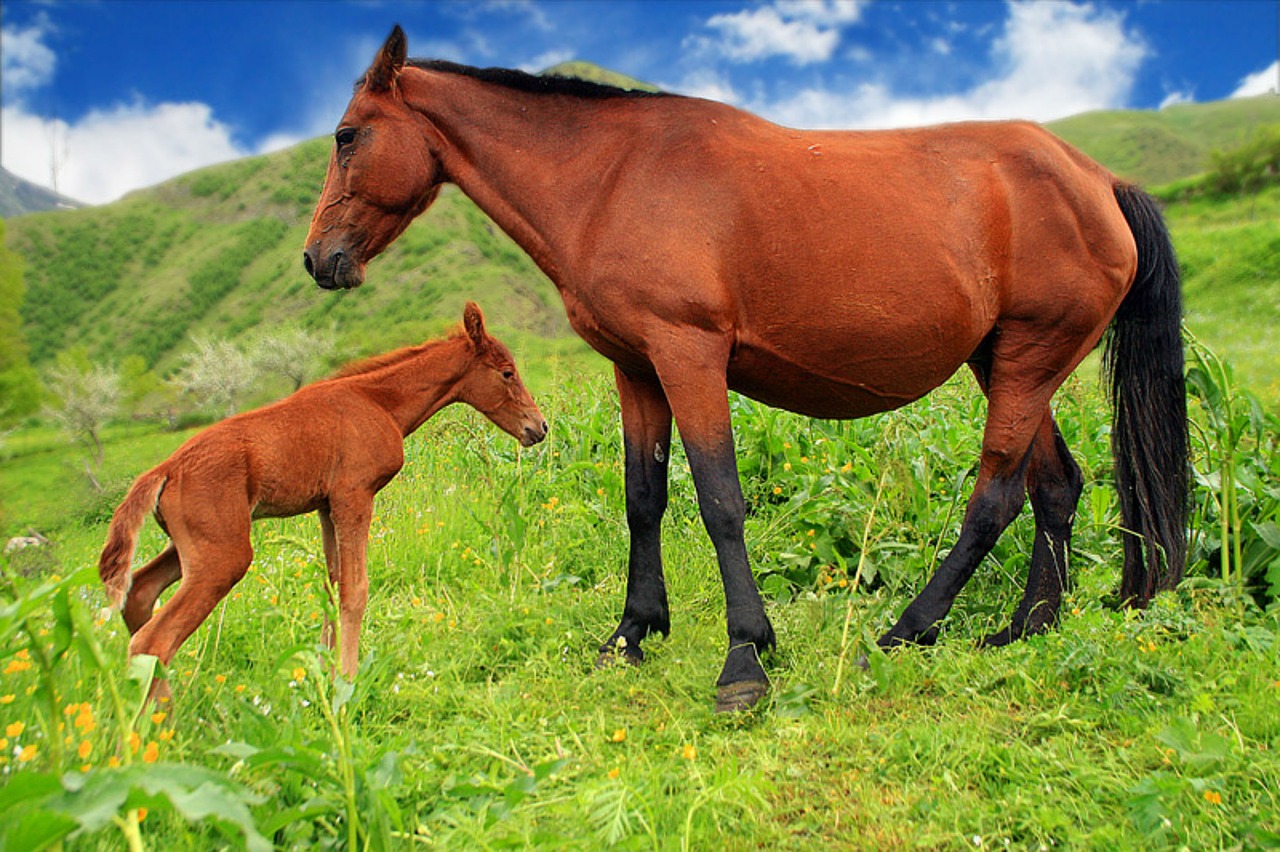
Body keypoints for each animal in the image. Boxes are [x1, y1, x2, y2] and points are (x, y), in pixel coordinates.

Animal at [97, 301, 542, 701]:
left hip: (193, 547)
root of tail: (165, 470)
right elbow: (355, 590)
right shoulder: (354, 495)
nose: (538, 427)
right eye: (507, 372)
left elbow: (331, 585)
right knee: (153, 641)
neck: (378, 402)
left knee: (140, 594)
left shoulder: (326, 507)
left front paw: (326, 677)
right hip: (223, 556)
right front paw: (347, 681)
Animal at [302, 26, 1187, 711]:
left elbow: (721, 500)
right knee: (1056, 486)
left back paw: (906, 631)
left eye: (347, 136)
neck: (611, 177)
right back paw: (1026, 628)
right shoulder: (639, 369)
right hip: (1008, 362)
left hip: (1029, 360)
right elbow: (644, 497)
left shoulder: (689, 354)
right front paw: (631, 633)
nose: (318, 260)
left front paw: (745, 660)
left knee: (995, 497)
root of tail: (1100, 181)